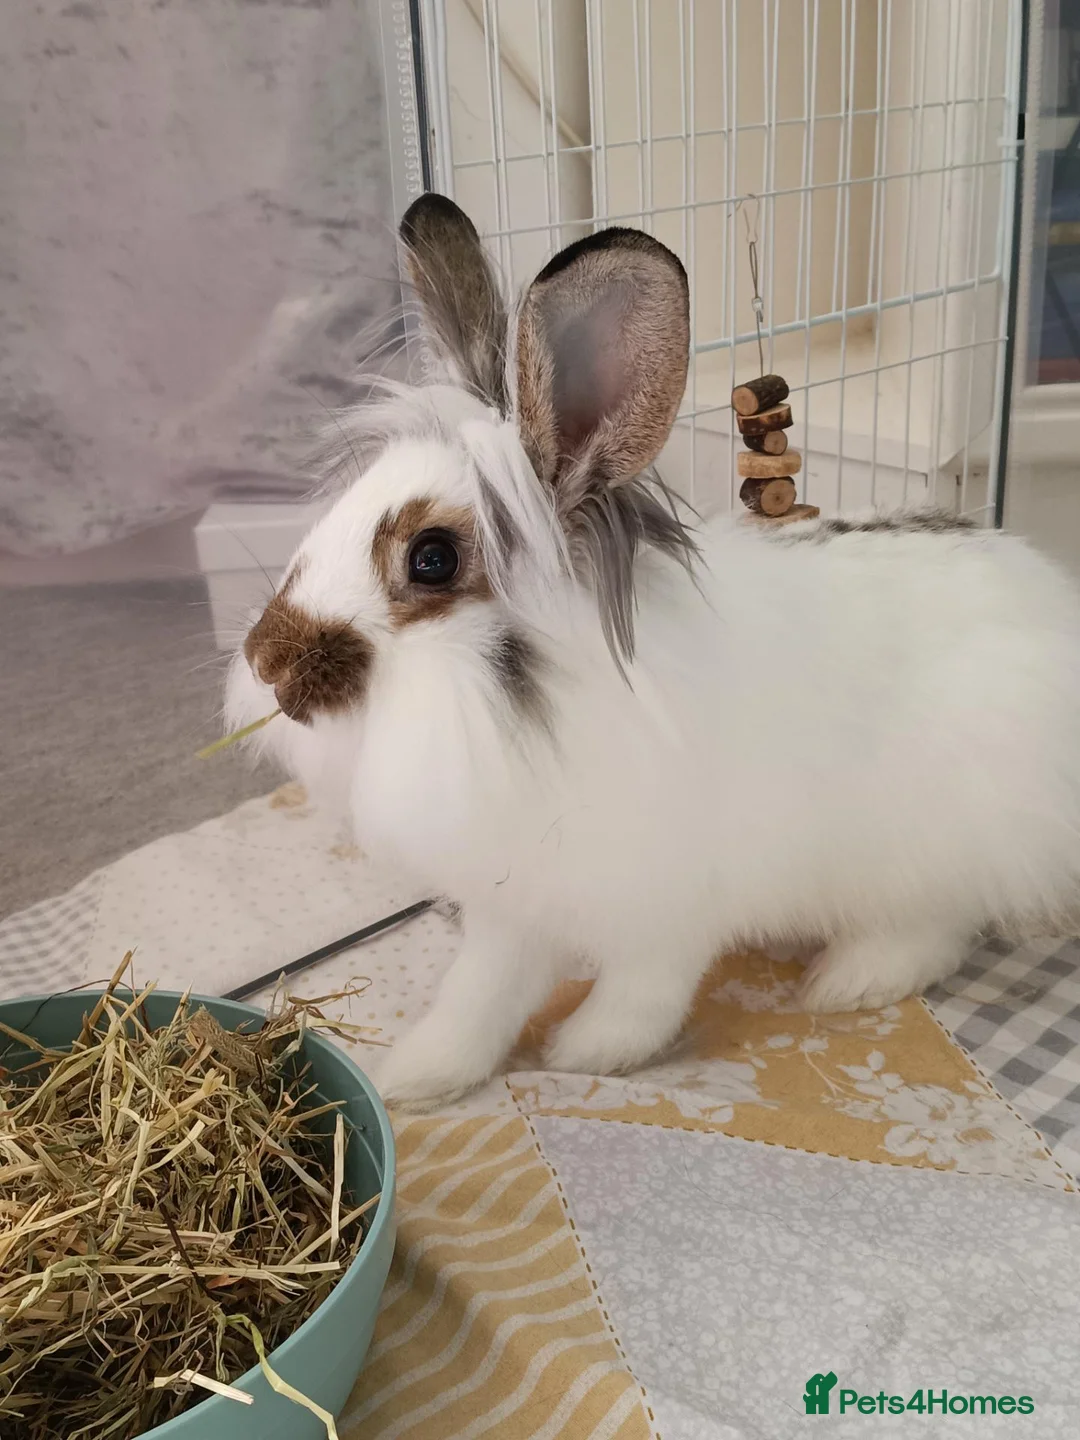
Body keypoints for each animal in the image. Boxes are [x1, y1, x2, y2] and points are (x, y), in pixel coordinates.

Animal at [225, 192, 1080, 1108]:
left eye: (431, 558)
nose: (265, 664)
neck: (539, 713)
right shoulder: (511, 910)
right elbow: (477, 995)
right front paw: (413, 1077)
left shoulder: (665, 907)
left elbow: (644, 991)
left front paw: (586, 1051)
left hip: (937, 836)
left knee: (940, 922)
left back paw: (849, 980)